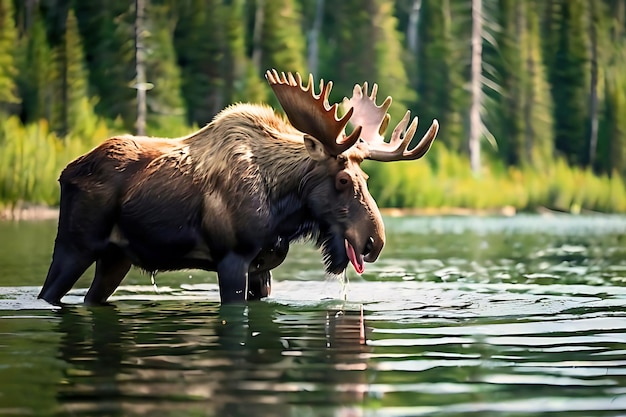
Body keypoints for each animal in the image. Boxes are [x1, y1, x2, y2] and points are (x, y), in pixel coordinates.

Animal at [39, 70, 436, 304]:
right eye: (341, 179)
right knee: (49, 292)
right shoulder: (232, 259)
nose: (374, 241)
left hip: (115, 257)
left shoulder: (262, 268)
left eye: (365, 178)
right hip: (74, 246)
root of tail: (65, 172)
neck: (283, 212)